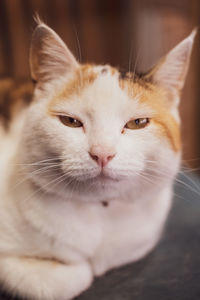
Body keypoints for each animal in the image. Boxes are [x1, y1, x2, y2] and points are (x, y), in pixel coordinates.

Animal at [0, 18, 195, 300]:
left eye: (138, 123)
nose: (102, 153)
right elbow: (66, 277)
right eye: (70, 121)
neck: (100, 215)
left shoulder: (142, 239)